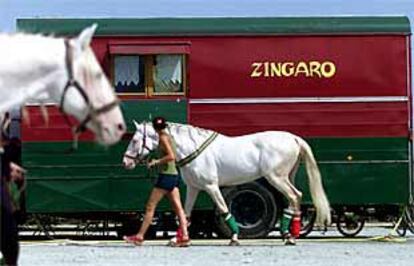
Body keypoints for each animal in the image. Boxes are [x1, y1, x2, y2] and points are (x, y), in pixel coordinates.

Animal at [122, 120, 330, 245]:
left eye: (135, 140)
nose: (126, 162)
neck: (193, 149)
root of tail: (293, 138)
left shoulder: (211, 187)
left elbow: (224, 209)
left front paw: (235, 237)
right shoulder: (193, 188)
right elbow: (186, 213)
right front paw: (177, 239)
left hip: (276, 178)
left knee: (294, 196)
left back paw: (290, 236)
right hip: (285, 177)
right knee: (296, 197)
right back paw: (291, 233)